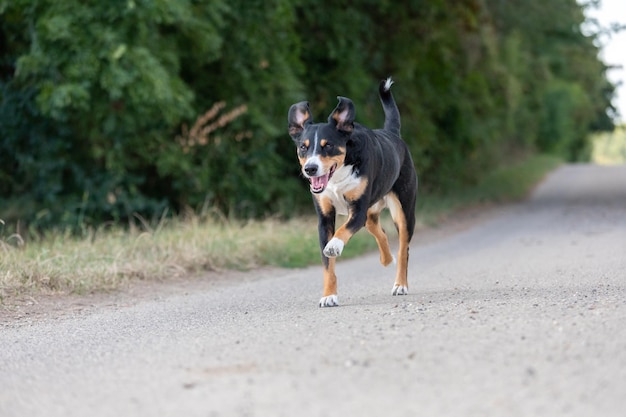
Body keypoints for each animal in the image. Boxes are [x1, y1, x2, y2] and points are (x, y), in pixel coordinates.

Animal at [288, 77, 416, 306]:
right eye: (303, 147)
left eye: (328, 145)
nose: (310, 168)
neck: (336, 178)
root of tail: (391, 134)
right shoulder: (325, 218)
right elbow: (327, 266)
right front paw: (329, 296)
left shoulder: (357, 211)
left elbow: (341, 232)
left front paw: (334, 246)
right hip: (371, 213)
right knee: (380, 231)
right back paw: (386, 259)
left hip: (404, 212)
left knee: (403, 249)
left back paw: (400, 284)